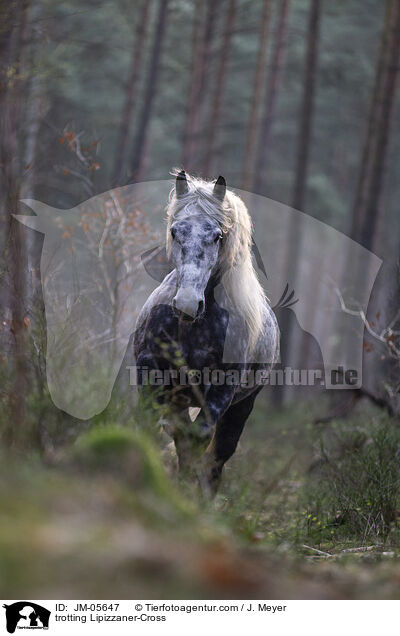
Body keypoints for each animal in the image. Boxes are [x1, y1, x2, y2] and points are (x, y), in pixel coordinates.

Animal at [134, 169, 278, 492]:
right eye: (176, 231)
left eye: (217, 235)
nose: (188, 304)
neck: (191, 330)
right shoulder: (151, 373)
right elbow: (165, 429)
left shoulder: (222, 389)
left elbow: (197, 441)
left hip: (241, 406)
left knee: (217, 457)